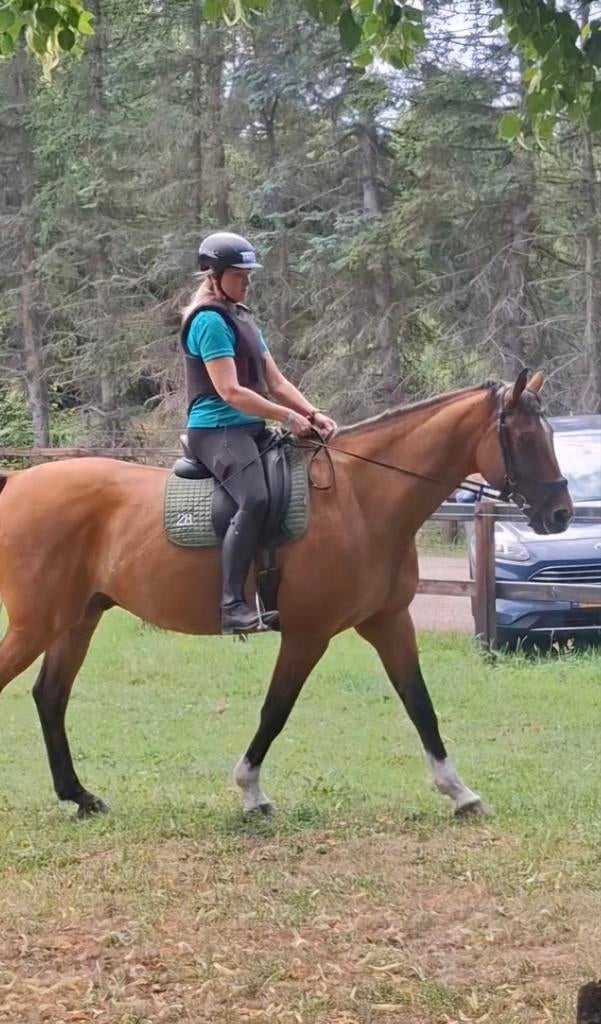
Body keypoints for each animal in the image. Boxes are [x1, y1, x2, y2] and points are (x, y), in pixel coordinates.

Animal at [0, 370, 572, 819]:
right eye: (526, 437)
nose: (561, 513)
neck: (360, 498)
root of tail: (17, 483)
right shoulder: (307, 634)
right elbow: (275, 710)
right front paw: (251, 793)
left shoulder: (390, 622)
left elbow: (420, 704)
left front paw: (460, 792)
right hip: (37, 623)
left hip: (77, 619)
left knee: (50, 696)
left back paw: (79, 796)